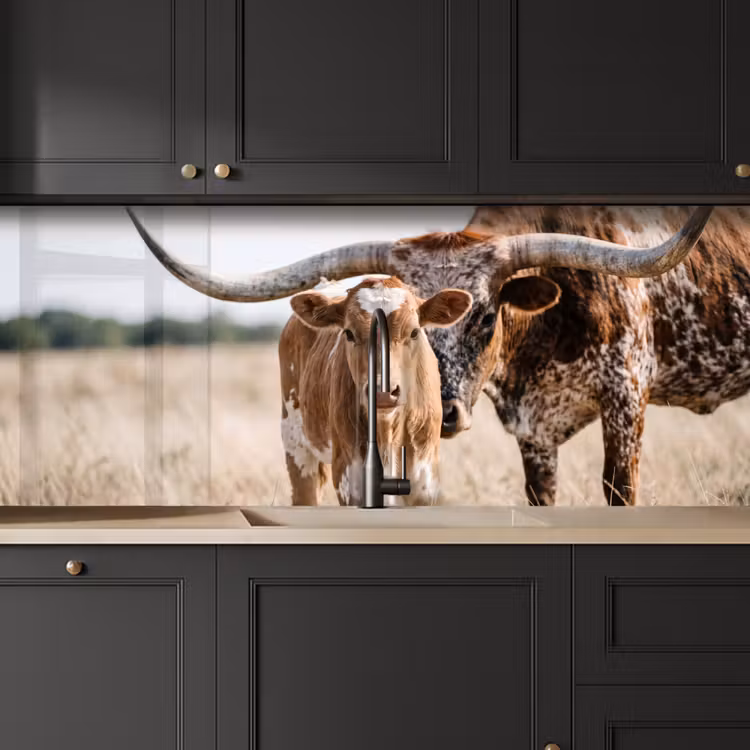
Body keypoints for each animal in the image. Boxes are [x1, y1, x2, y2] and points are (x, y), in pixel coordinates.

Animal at [280, 277, 471, 505]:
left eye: (414, 332)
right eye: (349, 333)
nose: (382, 392)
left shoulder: (425, 483)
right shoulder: (349, 480)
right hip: (296, 447)